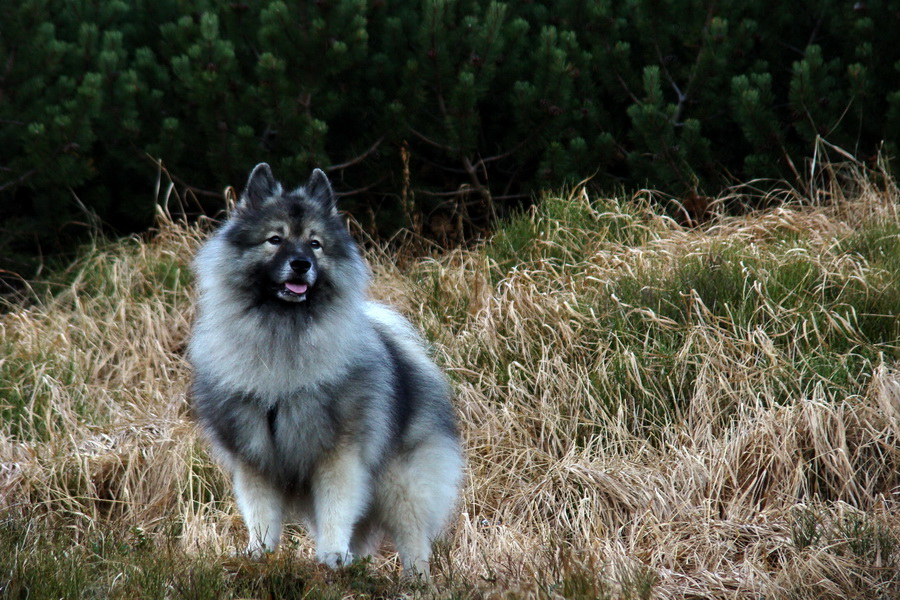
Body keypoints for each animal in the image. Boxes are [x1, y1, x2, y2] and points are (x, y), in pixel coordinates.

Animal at [185, 164, 460, 576]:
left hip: (401, 485)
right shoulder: (254, 456)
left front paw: (331, 552)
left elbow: (337, 506)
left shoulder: (338, 454)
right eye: (275, 239)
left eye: (315, 244)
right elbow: (260, 513)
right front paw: (259, 554)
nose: (301, 264)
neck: (283, 335)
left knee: (413, 539)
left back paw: (415, 579)